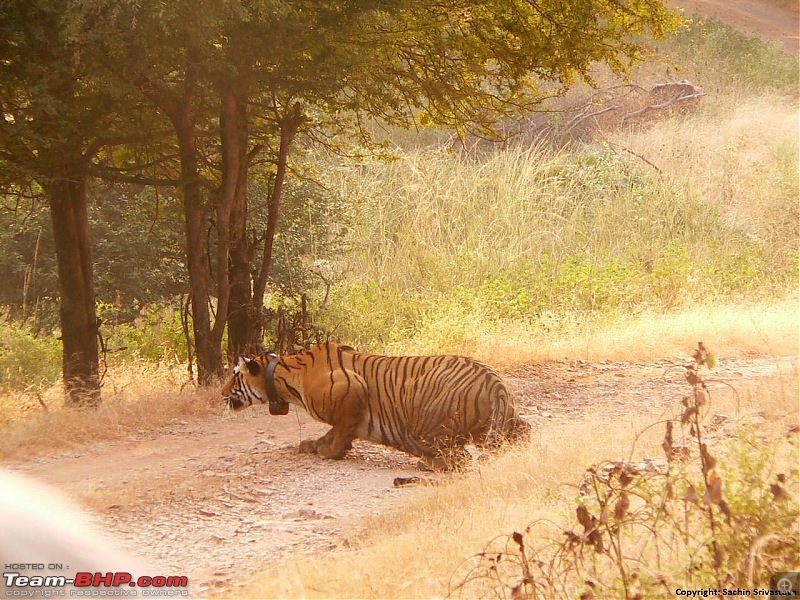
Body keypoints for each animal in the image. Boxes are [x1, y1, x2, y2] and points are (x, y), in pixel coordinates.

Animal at [220, 340, 532, 472]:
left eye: (234, 375)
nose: (221, 393)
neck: (282, 374)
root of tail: (495, 382)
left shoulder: (352, 391)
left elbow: (339, 431)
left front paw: (330, 452)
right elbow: (331, 432)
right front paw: (311, 445)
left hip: (431, 425)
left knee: (459, 457)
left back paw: (426, 463)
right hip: (502, 423)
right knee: (524, 432)